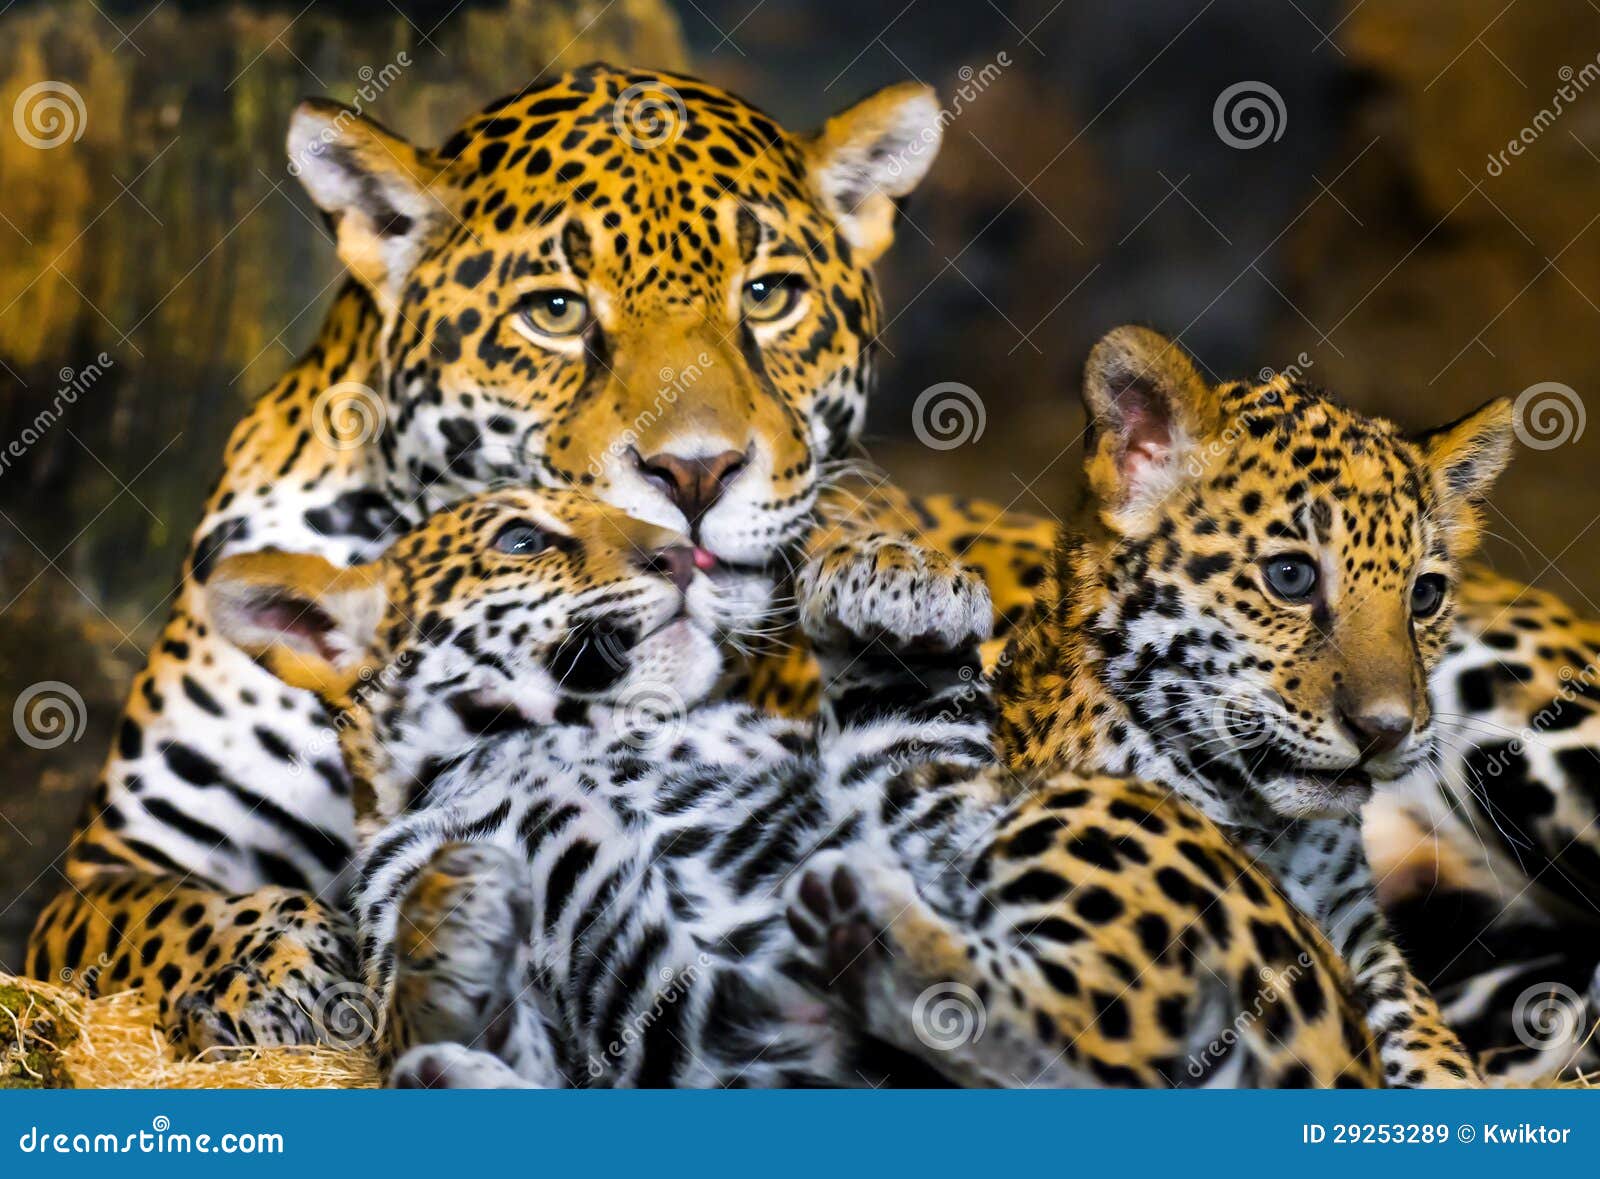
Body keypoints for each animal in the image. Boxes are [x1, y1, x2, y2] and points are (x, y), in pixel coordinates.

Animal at [25, 61, 1043, 1051]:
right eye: (552, 312)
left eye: (767, 297)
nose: (697, 472)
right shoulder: (111, 863)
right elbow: (175, 915)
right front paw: (277, 967)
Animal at [204, 486, 1382, 1088]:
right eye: (523, 536)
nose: (681, 550)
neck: (574, 734)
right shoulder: (643, 1049)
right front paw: (452, 928)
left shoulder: (937, 814)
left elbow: (914, 746)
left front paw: (896, 593)